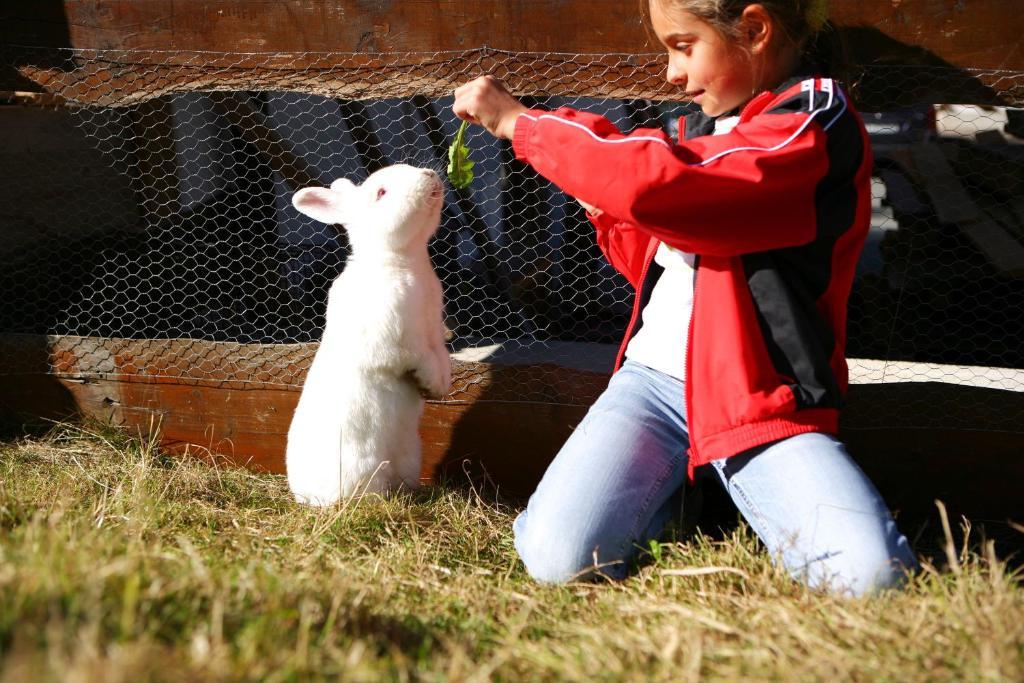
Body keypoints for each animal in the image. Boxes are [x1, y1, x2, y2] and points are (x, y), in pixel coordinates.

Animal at [286, 163, 450, 507]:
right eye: (382, 192)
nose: (429, 175)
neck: (404, 260)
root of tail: (304, 494)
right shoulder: (396, 342)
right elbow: (419, 358)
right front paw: (430, 383)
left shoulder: (435, 334)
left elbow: (442, 357)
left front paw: (441, 386)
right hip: (362, 471)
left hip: (409, 458)